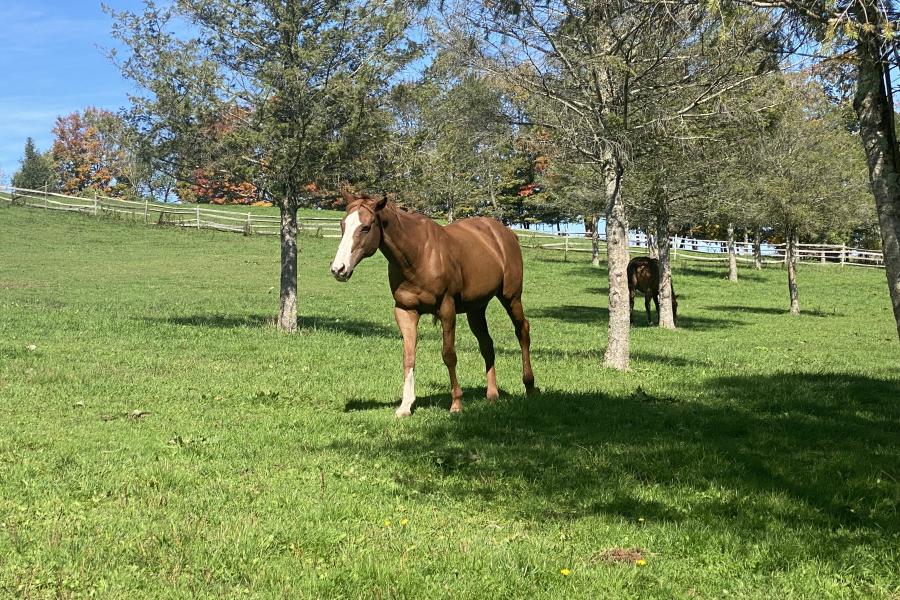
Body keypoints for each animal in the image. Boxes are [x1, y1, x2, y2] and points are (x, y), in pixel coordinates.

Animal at [328, 192, 536, 418]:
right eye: (342, 224)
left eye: (365, 227)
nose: (338, 269)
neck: (417, 255)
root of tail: (506, 234)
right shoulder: (405, 311)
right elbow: (409, 356)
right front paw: (405, 405)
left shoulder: (447, 309)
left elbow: (449, 355)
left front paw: (456, 403)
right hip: (476, 309)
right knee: (487, 344)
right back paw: (492, 395)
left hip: (511, 297)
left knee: (522, 331)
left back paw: (529, 387)